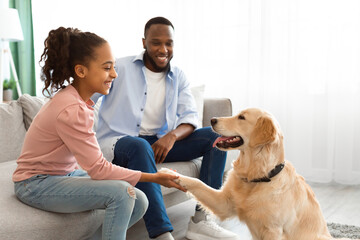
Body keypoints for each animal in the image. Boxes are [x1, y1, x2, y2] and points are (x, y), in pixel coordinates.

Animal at [160, 109, 354, 240]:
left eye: (242, 117)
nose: (212, 119)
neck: (257, 176)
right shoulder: (224, 203)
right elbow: (196, 182)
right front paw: (167, 172)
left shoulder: (273, 230)